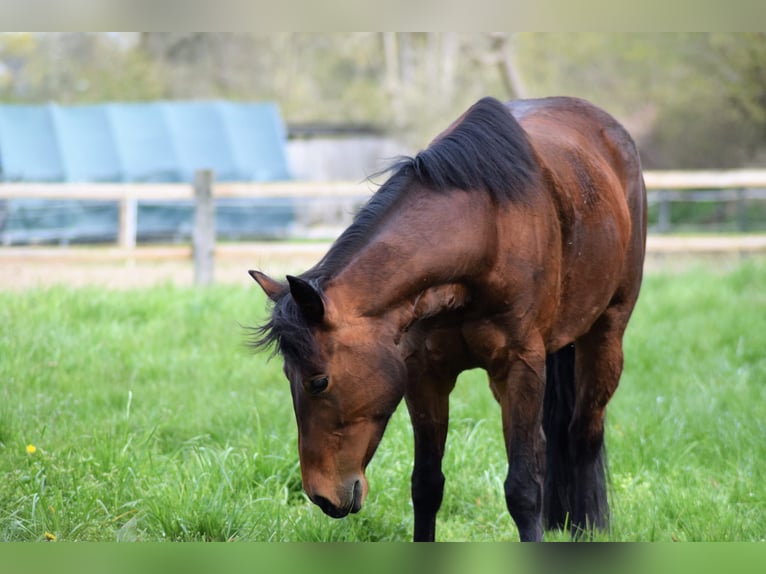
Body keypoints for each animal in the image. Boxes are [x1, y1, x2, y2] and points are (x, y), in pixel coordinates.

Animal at [249, 97, 644, 544]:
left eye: (319, 382)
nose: (322, 496)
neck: (486, 234)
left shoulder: (521, 366)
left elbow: (523, 487)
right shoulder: (424, 374)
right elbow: (426, 483)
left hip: (605, 336)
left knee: (583, 433)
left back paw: (585, 526)